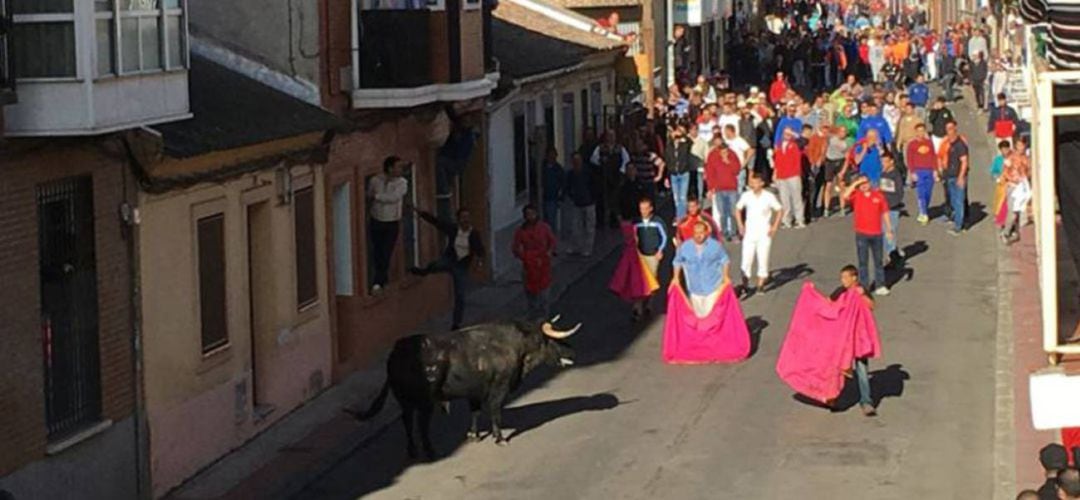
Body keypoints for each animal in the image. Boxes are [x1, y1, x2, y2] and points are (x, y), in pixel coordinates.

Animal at [349, 321, 578, 457]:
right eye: (551, 341)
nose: (571, 350)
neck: (516, 347)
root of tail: (394, 354)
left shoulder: (474, 392)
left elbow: (475, 412)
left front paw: (474, 435)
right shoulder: (499, 389)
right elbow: (495, 412)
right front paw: (500, 439)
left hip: (405, 401)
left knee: (407, 421)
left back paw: (413, 450)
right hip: (424, 402)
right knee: (421, 424)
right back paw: (429, 451)